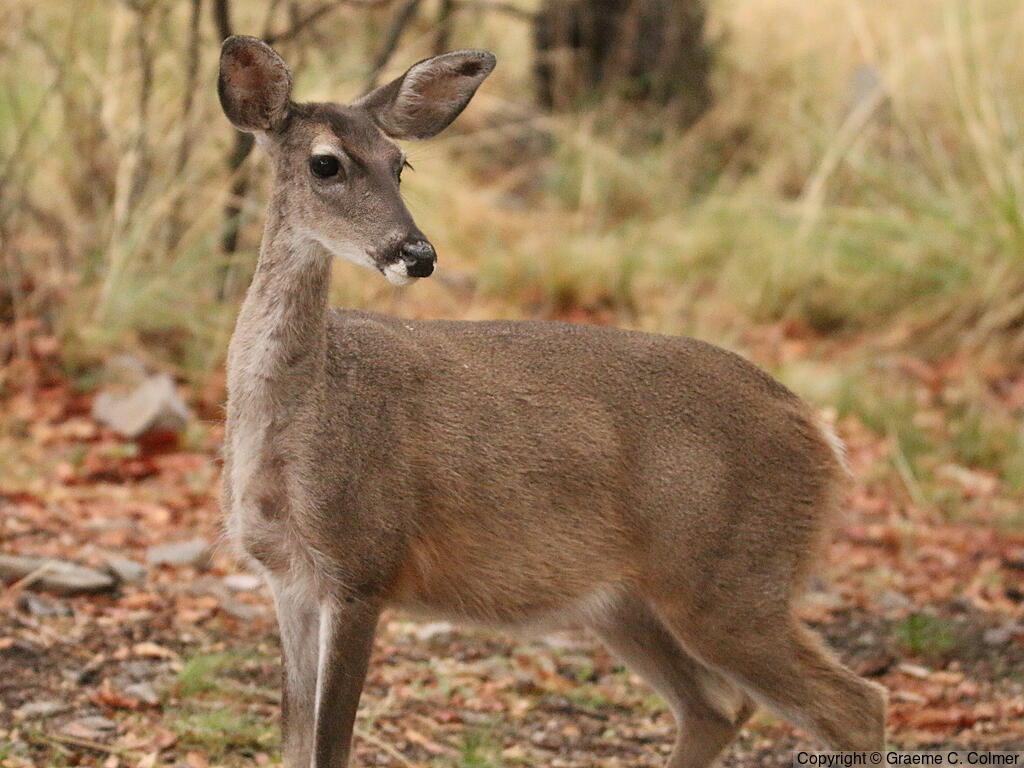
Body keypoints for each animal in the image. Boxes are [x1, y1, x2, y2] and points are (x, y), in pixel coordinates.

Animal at [217, 35, 886, 768]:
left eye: (401, 164)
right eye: (326, 163)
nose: (417, 253)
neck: (301, 418)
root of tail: (824, 437)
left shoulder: (365, 562)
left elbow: (330, 745)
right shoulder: (287, 577)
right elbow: (295, 741)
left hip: (735, 580)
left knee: (856, 705)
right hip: (628, 603)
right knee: (717, 705)